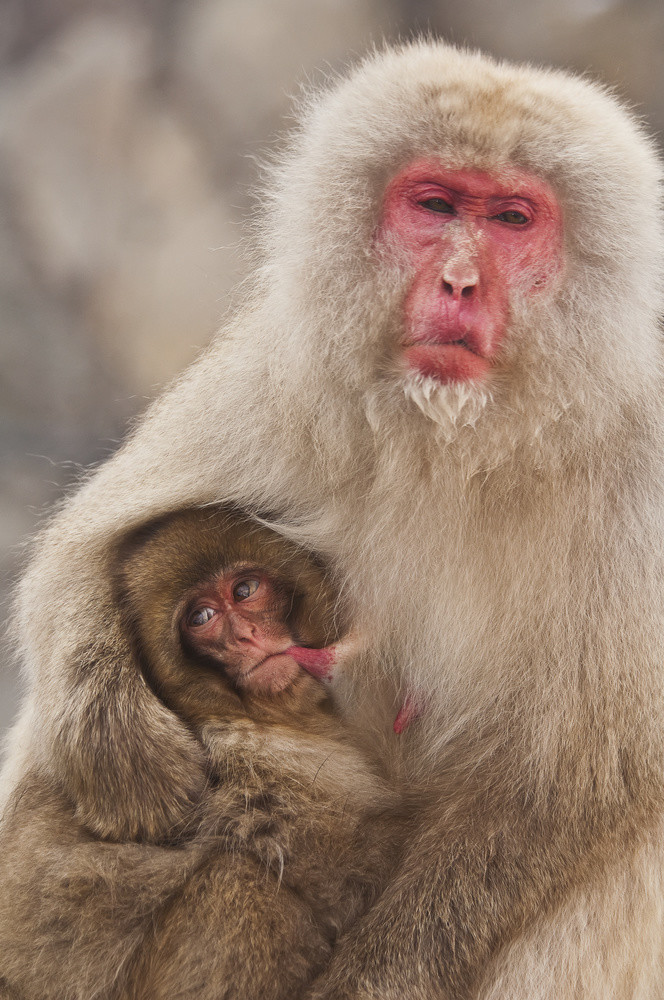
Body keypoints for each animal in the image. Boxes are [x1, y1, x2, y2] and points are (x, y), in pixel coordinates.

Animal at [0, 506, 406, 1000]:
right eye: (202, 616)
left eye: (245, 591)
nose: (248, 636)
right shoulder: (263, 762)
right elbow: (340, 872)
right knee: (241, 883)